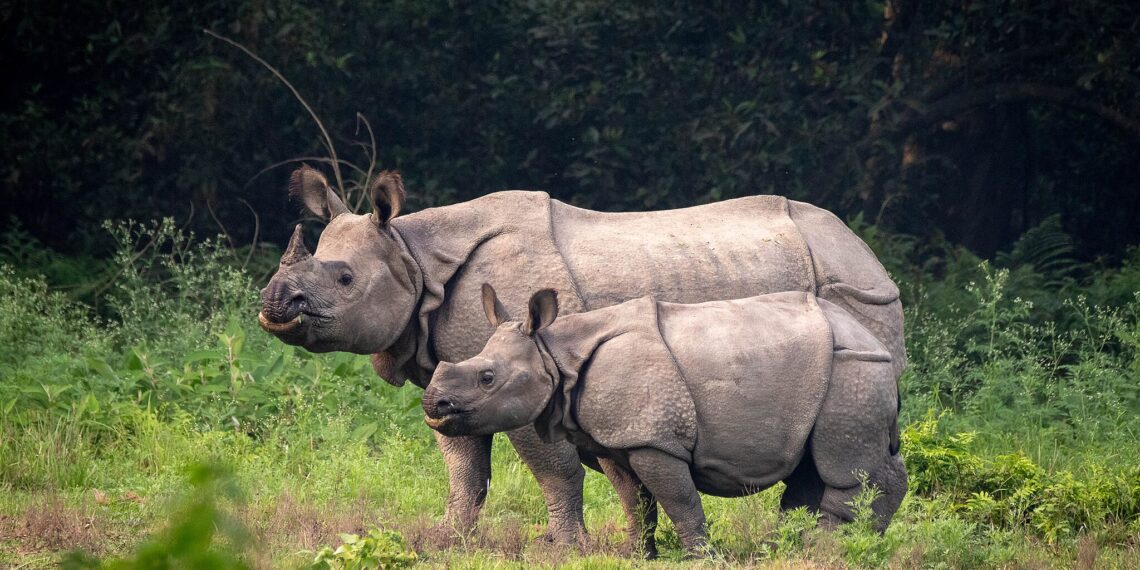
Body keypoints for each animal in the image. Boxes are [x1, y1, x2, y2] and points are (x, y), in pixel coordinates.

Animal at [423, 286, 907, 557]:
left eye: (487, 378)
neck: (556, 353)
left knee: (845, 468)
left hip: (852, 369)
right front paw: (635, 554)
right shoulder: (619, 439)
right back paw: (808, 545)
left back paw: (829, 549)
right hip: (836, 372)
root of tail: (872, 338)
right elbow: (635, 501)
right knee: (815, 465)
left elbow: (678, 498)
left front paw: (701, 556)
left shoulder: (653, 439)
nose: (433, 404)